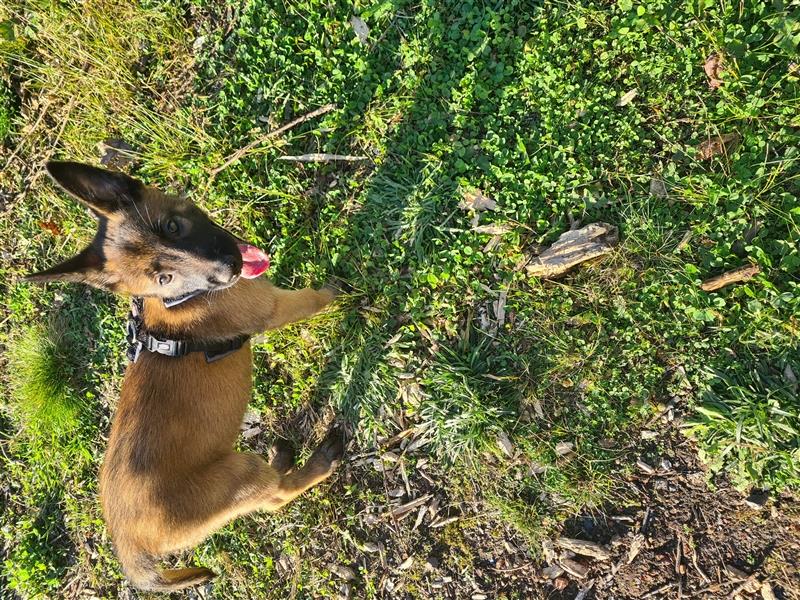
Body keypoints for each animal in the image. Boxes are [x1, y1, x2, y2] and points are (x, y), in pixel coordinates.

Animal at [26, 162, 340, 592]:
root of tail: (130, 546)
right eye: (165, 279)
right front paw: (345, 293)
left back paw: (284, 457)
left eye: (173, 227)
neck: (177, 303)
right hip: (237, 476)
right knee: (276, 496)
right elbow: (313, 299)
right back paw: (321, 460)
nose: (229, 269)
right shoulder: (275, 306)